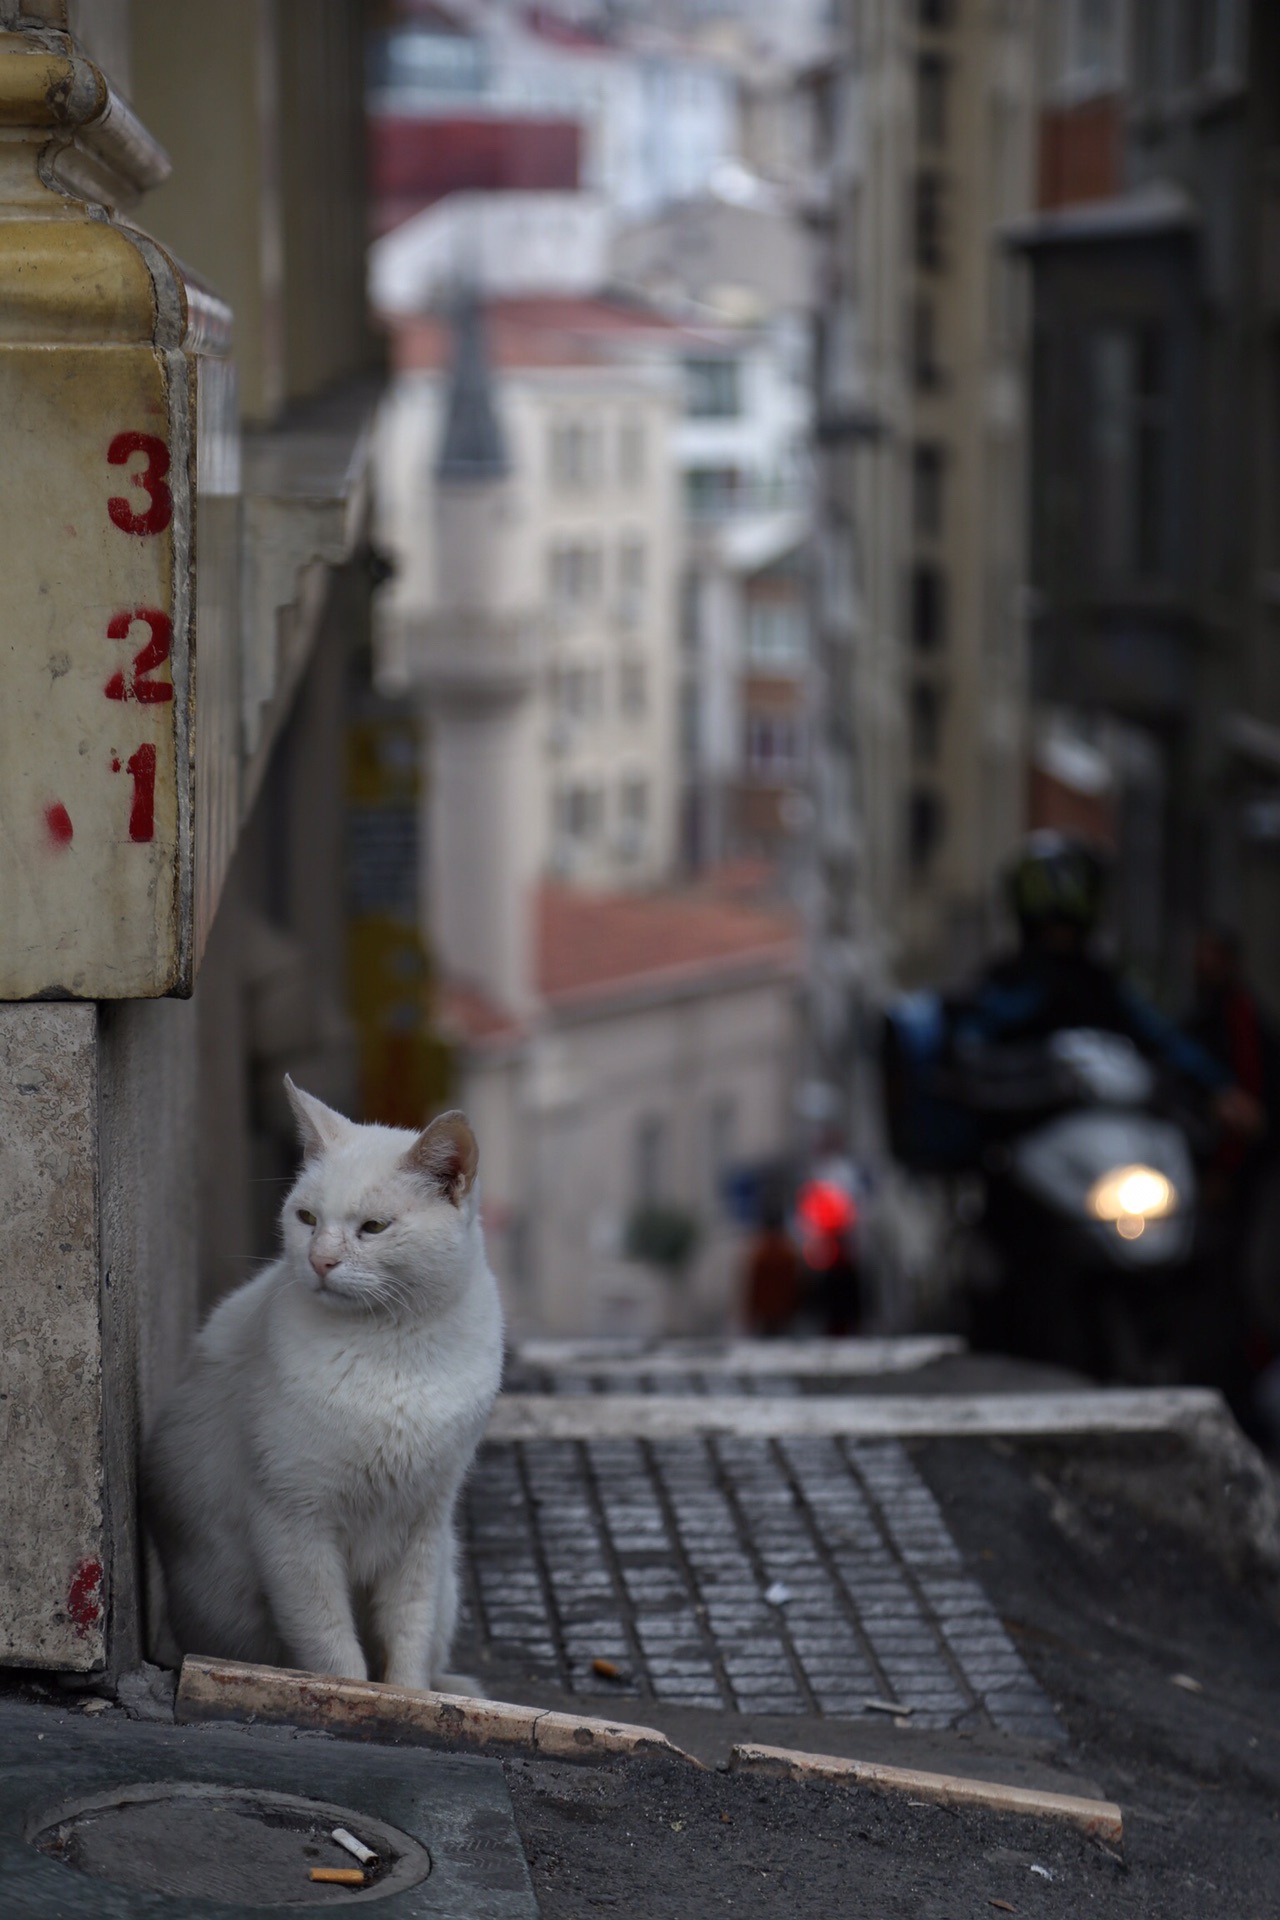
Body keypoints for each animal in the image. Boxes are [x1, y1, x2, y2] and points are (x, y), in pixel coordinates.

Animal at [140, 1082, 498, 1697]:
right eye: (306, 1217)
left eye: (373, 1228)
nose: (319, 1260)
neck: (392, 1348)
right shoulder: (294, 1526)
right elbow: (332, 1651)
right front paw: (352, 1698)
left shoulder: (423, 1529)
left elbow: (408, 1639)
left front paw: (408, 1700)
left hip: (448, 1573)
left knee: (432, 1648)